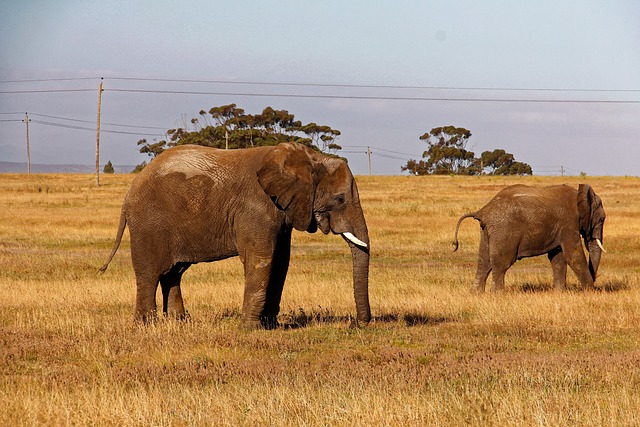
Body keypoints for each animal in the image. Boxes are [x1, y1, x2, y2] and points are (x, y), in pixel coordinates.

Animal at [99, 142, 370, 330]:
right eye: (340, 199)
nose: (356, 323)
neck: (310, 158)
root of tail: (129, 194)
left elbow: (281, 261)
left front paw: (271, 327)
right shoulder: (255, 207)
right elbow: (261, 258)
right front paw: (250, 329)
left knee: (173, 273)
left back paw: (180, 322)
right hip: (149, 224)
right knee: (150, 274)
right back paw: (146, 325)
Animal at [452, 186, 608, 292]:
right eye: (602, 219)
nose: (595, 280)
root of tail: (483, 211)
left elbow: (557, 257)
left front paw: (559, 292)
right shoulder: (569, 223)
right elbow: (573, 255)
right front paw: (589, 291)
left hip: (487, 232)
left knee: (484, 261)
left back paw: (476, 293)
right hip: (503, 231)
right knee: (501, 263)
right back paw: (498, 294)